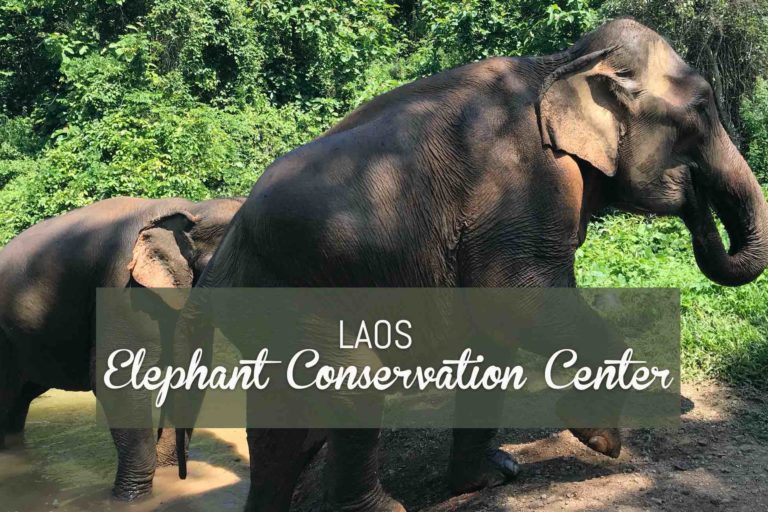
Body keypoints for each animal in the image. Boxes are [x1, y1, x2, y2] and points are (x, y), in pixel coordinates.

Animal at [0, 195, 244, 500]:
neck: (190, 209)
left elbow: (194, 374)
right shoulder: (120, 285)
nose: (184, 475)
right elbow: (114, 380)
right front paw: (129, 498)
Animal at [178, 18, 768, 512]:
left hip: (266, 300)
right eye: (701, 110)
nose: (691, 193)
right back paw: (383, 509)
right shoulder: (527, 183)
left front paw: (492, 478)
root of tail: (221, 255)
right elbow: (517, 303)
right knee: (353, 384)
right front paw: (600, 440)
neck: (562, 63)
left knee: (282, 421)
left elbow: (495, 335)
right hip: (300, 291)